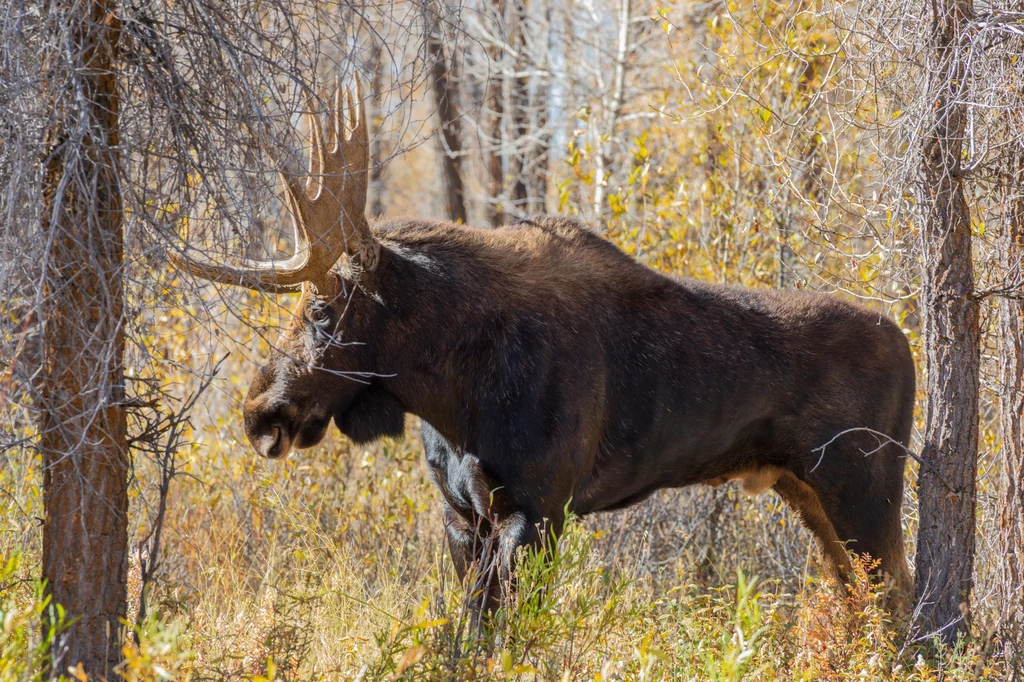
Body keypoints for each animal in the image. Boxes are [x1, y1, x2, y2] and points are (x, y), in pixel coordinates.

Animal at [174, 79, 913, 610]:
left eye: (324, 310)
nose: (258, 412)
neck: (451, 391)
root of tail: (910, 348)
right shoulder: (461, 518)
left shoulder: (537, 512)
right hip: (807, 493)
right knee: (860, 600)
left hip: (866, 493)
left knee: (899, 600)